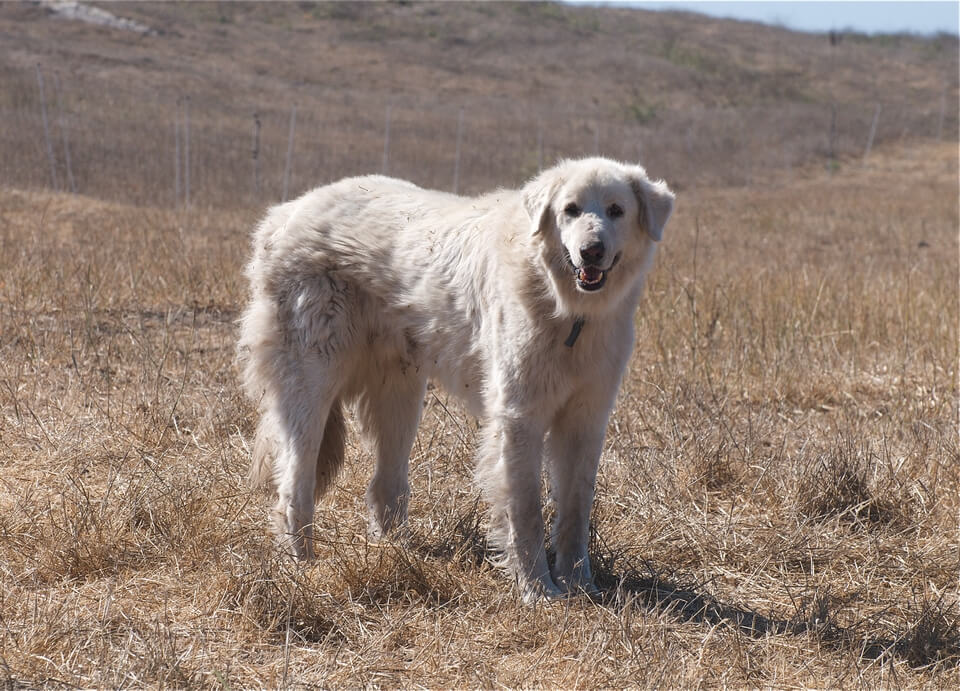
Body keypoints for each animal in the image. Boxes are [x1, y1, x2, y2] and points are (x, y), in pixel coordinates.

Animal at [238, 159, 676, 604]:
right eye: (570, 210)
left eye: (616, 210)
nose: (592, 250)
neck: (567, 309)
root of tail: (283, 214)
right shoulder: (518, 419)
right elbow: (526, 513)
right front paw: (537, 590)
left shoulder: (586, 419)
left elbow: (576, 508)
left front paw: (580, 586)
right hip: (313, 385)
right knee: (295, 484)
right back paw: (302, 562)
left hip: (400, 396)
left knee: (383, 486)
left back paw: (396, 554)